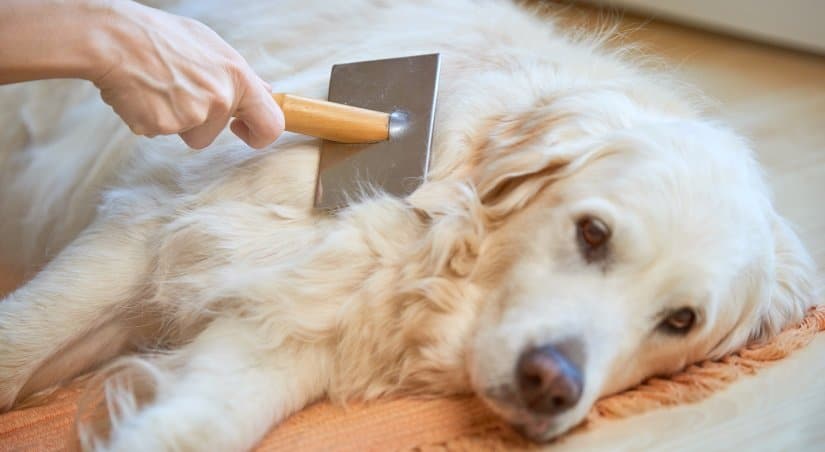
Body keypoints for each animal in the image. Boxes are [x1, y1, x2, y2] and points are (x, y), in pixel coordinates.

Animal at [0, 0, 816, 450]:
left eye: (680, 321)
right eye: (592, 234)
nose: (551, 384)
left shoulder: (293, 324)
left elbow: (203, 422)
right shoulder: (154, 228)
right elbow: (20, 341)